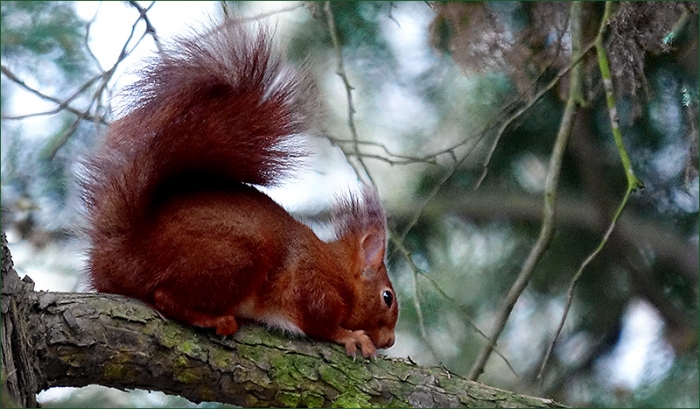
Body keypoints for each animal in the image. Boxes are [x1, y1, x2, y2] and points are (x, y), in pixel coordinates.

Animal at [81, 20, 398, 359]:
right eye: (387, 297)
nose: (391, 341)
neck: (338, 270)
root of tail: (127, 253)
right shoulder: (311, 284)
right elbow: (320, 321)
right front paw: (351, 336)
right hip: (235, 258)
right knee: (165, 296)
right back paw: (214, 319)